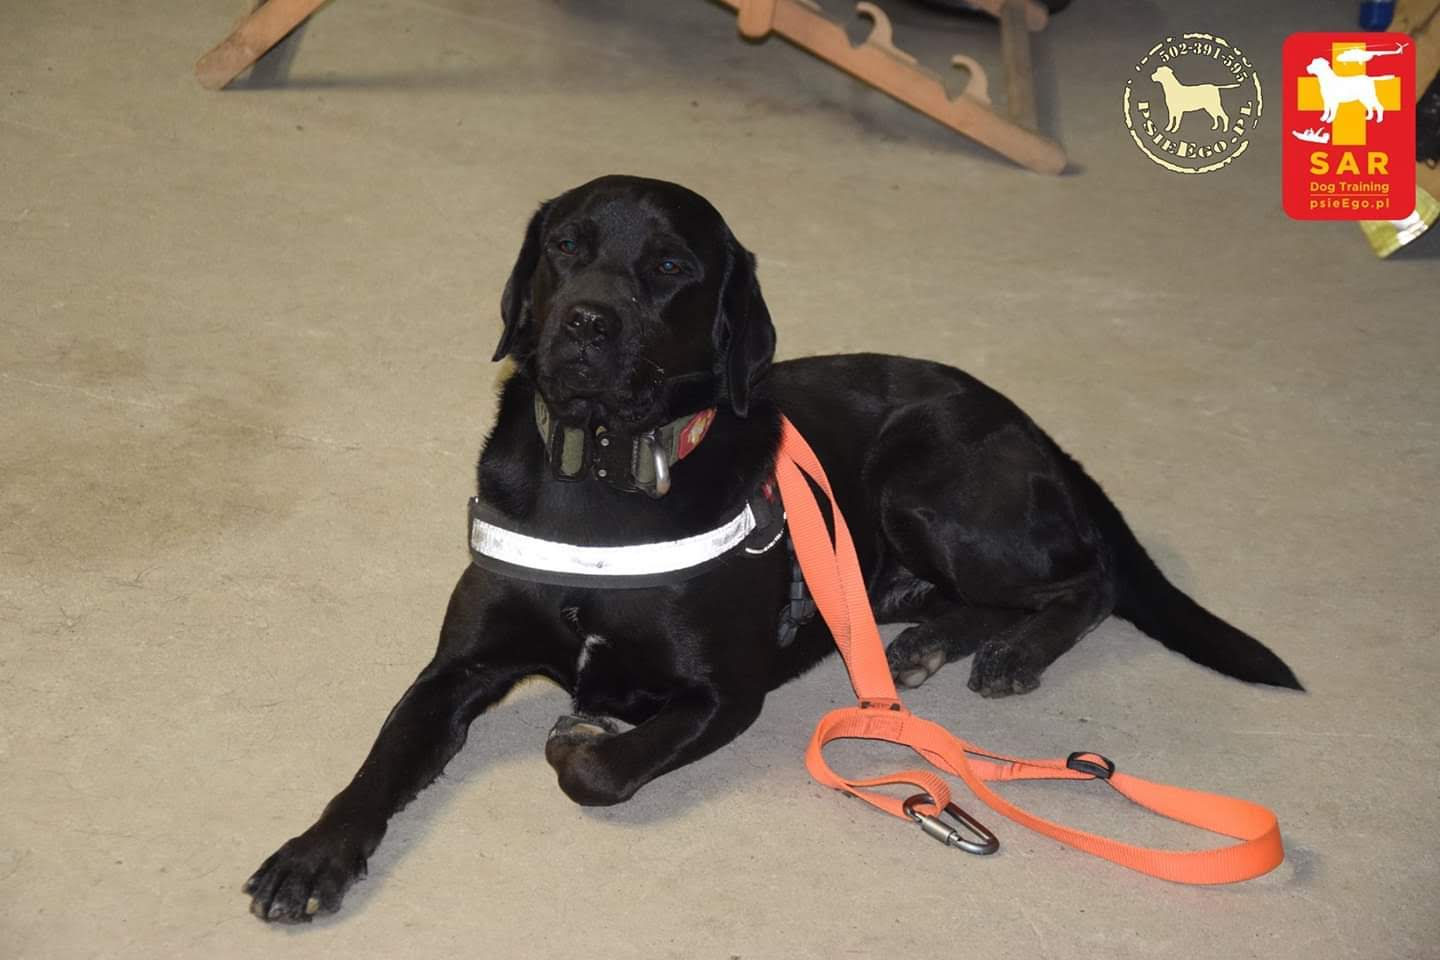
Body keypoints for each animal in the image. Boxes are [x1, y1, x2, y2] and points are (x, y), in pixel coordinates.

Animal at [243, 175, 1302, 923]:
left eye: (672, 268)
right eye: (563, 247)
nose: (584, 321)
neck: (599, 475)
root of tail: (1028, 423)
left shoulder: (727, 693)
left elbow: (599, 772)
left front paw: (589, 735)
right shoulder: (456, 669)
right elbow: (379, 762)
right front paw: (313, 855)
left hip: (925, 488)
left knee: (1091, 577)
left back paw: (1011, 652)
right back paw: (922, 644)